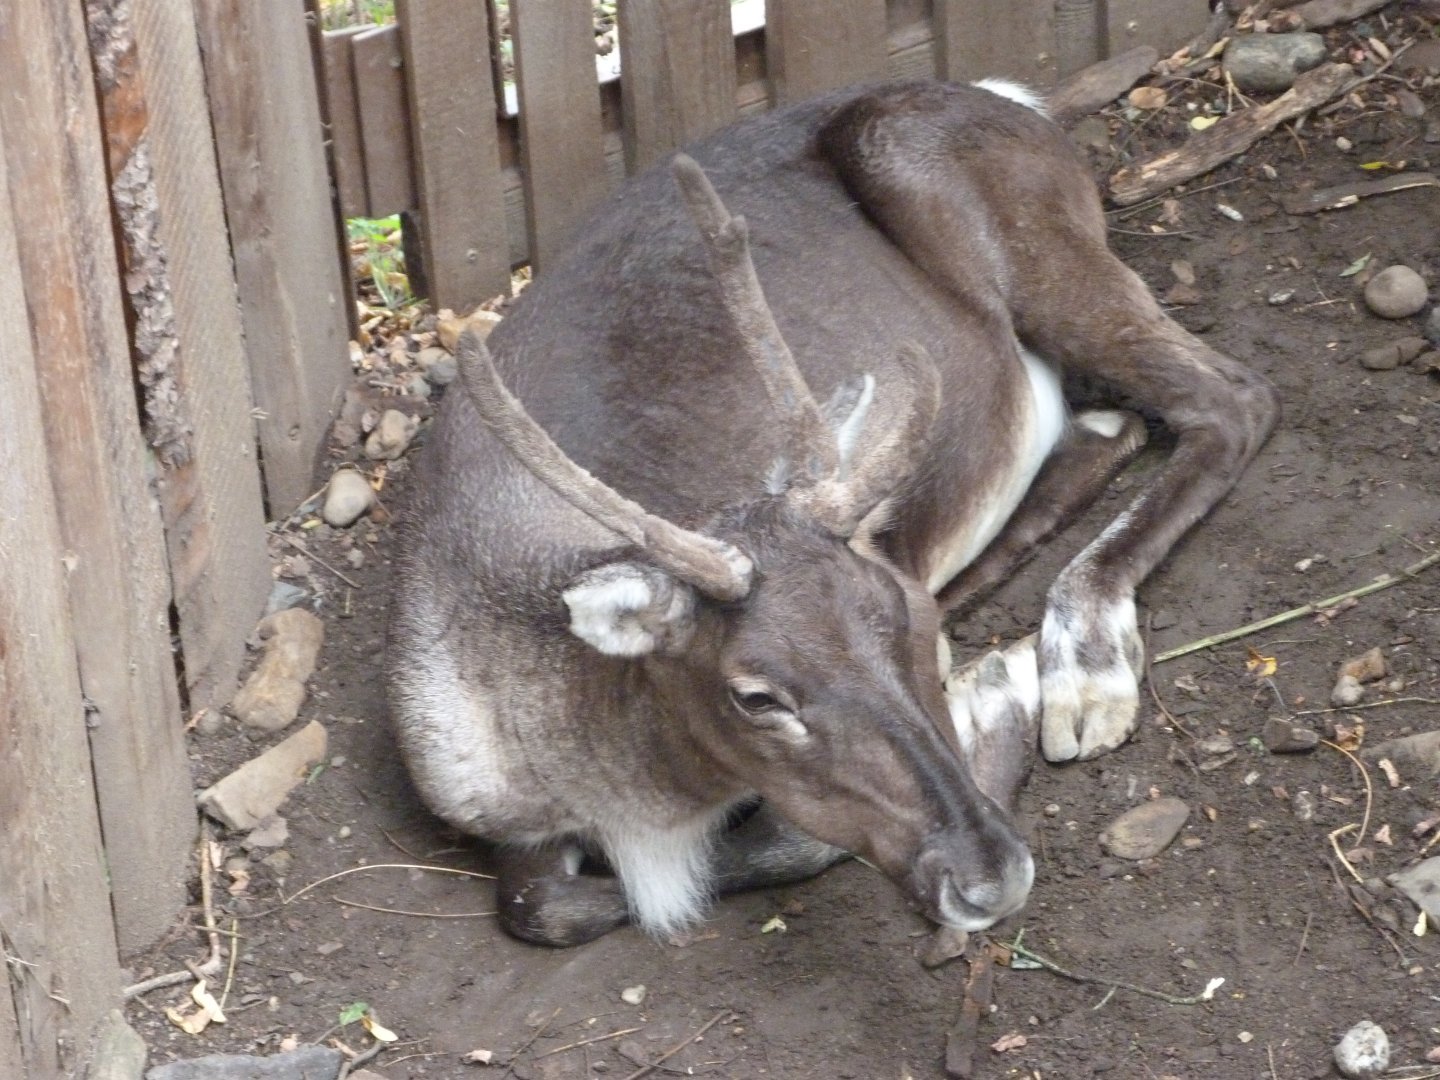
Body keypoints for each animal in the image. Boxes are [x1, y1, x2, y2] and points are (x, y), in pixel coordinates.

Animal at [386, 77, 1278, 948]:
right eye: (756, 696)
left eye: (907, 618)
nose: (990, 873)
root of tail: (1014, 98)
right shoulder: (500, 821)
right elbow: (542, 906)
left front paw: (995, 706)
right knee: (1113, 428)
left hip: (1023, 240)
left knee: (1233, 397)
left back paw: (1085, 662)